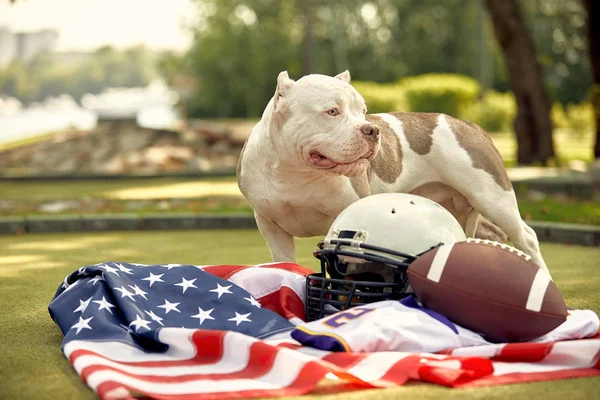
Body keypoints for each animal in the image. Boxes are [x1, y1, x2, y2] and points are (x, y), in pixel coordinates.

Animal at [236, 69, 548, 276]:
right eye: (332, 112)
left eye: (363, 111)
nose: (372, 129)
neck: (297, 172)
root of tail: (469, 125)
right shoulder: (269, 225)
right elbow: (282, 260)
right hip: (458, 204)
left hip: (492, 196)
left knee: (526, 237)